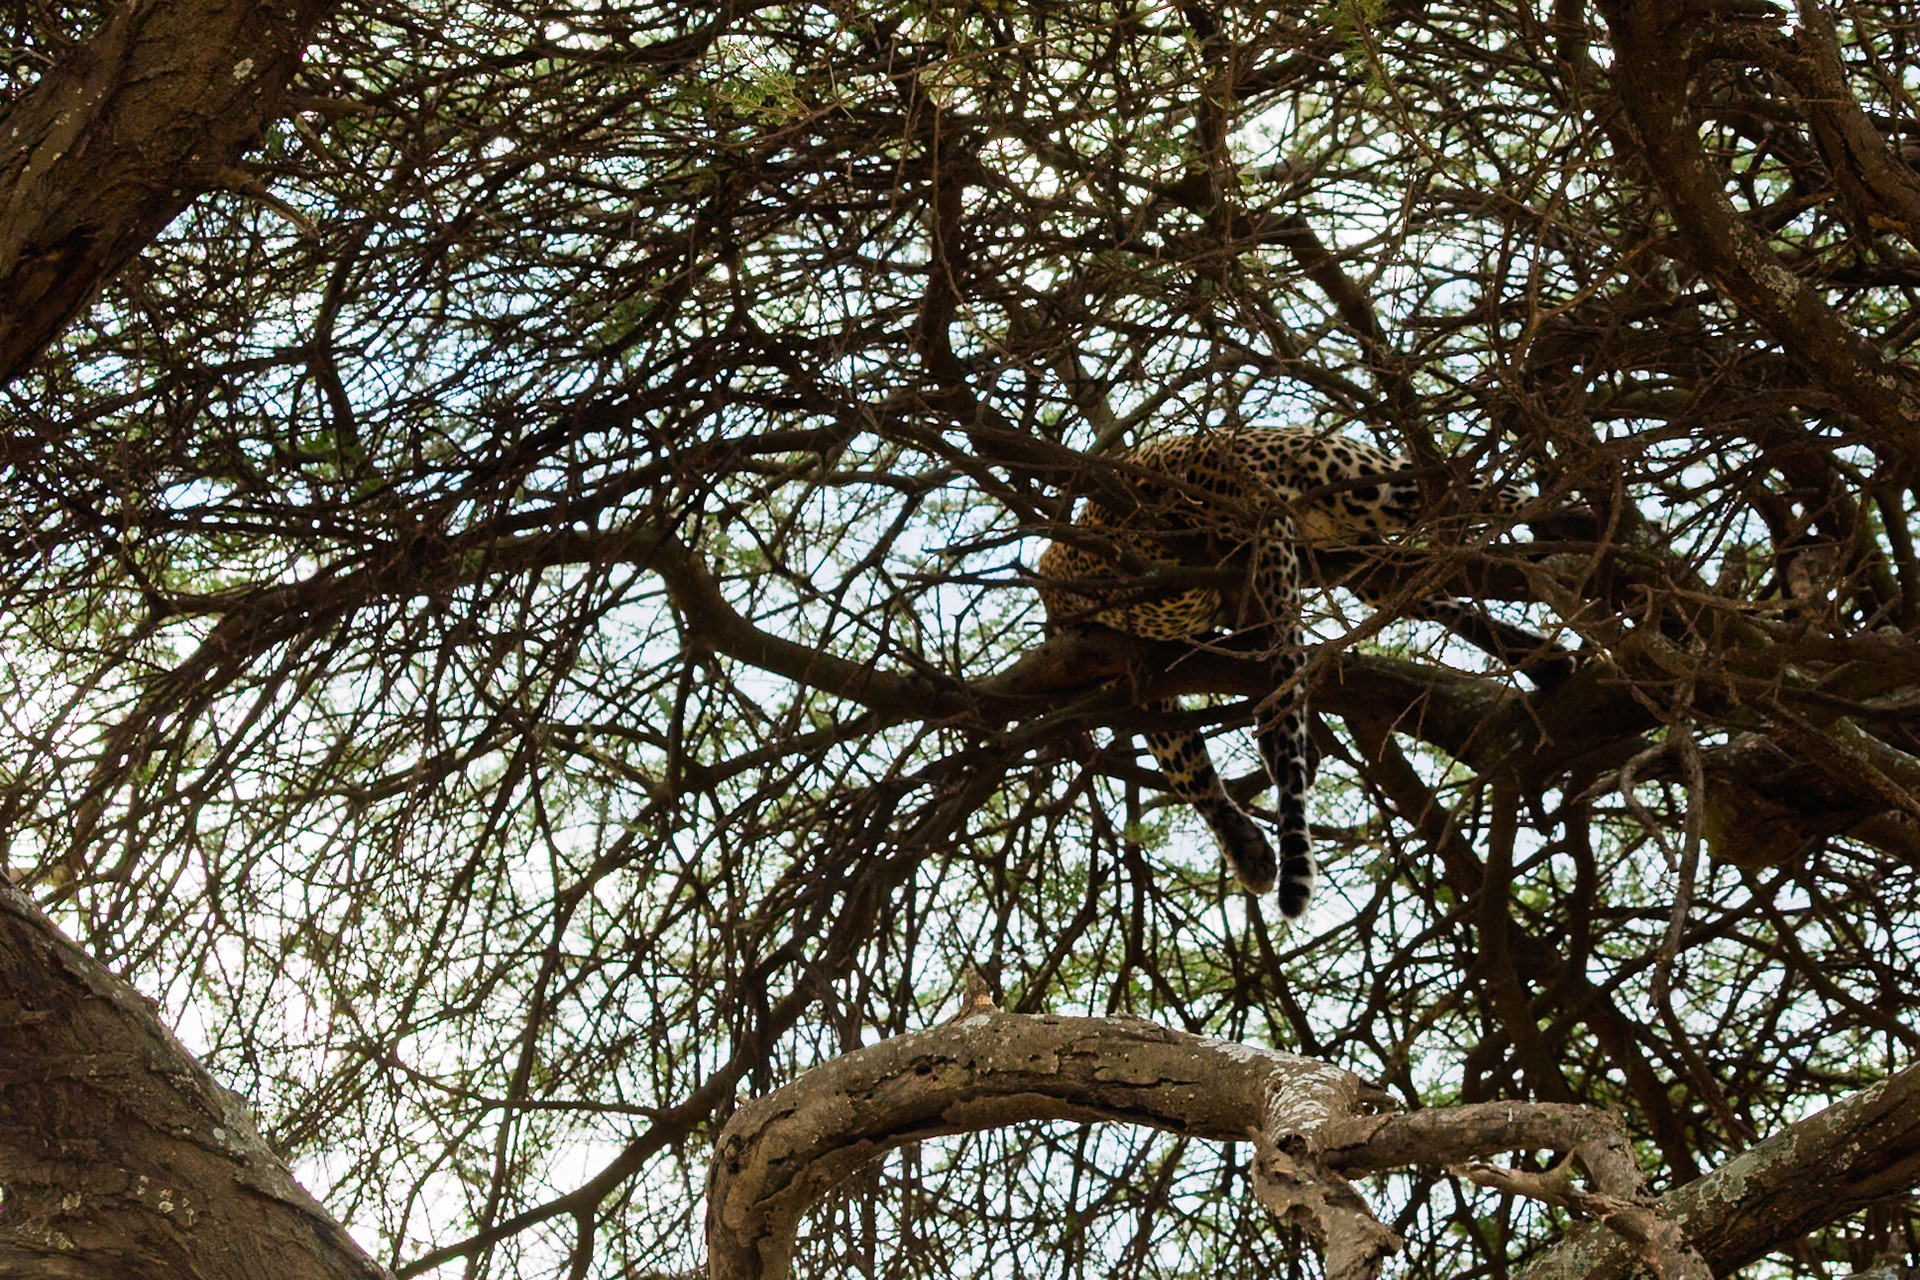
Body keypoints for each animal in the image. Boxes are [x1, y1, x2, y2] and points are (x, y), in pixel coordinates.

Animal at [1036, 426, 1529, 919]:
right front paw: (1243, 843)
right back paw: (1538, 653)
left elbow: (1230, 733)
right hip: (1360, 538)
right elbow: (1189, 760)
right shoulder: (1146, 670)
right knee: (1428, 576)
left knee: (1488, 492)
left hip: (1363, 487)